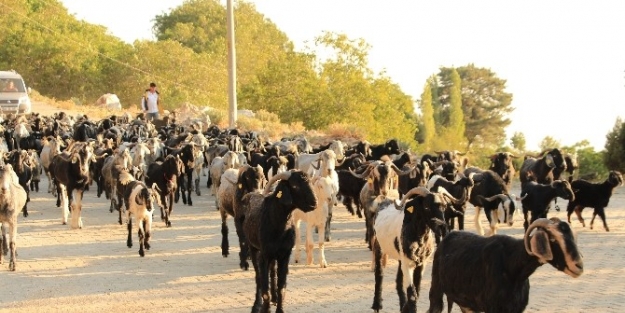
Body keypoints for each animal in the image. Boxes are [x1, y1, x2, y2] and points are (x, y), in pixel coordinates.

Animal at [426, 217, 584, 312]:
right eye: (552, 239)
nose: (579, 266)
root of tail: (447, 235)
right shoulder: (493, 308)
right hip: (436, 288)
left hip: (466, 303)